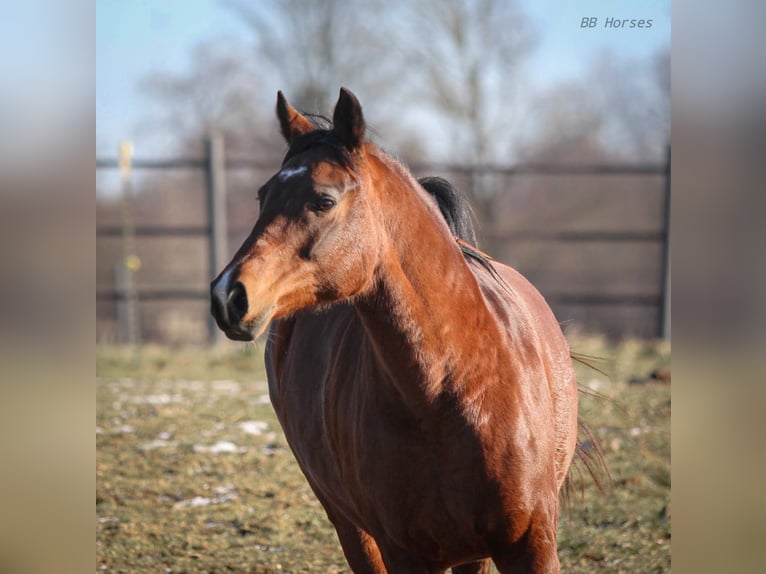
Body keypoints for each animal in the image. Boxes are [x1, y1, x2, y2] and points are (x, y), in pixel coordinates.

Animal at [210, 88, 584, 572]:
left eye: (323, 200)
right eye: (263, 196)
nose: (227, 295)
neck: (453, 390)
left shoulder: (531, 544)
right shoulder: (406, 552)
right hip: (352, 528)